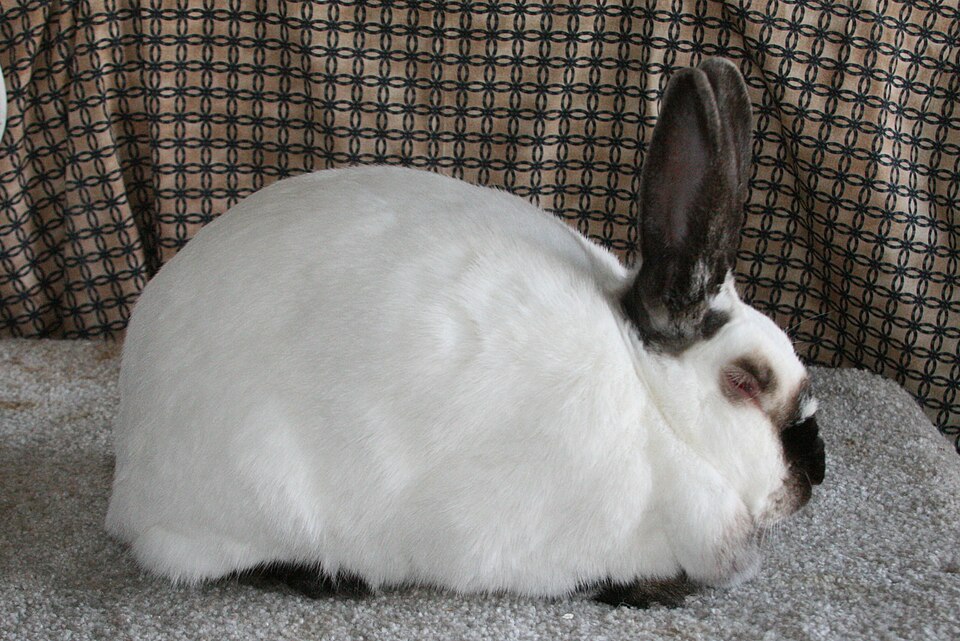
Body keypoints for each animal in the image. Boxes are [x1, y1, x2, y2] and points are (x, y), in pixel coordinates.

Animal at [105, 57, 825, 608]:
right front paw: (652, 592)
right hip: (257, 490)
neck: (655, 406)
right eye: (745, 382)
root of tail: (128, 484)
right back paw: (331, 580)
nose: (815, 469)